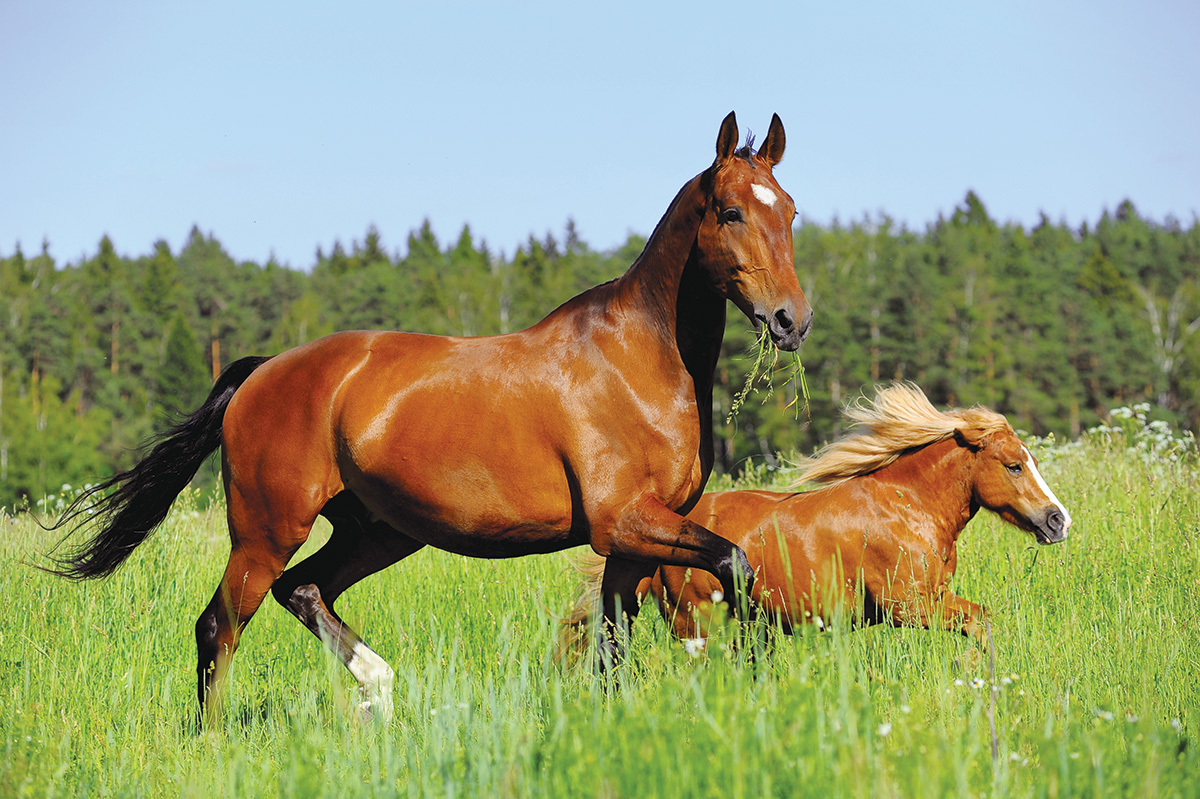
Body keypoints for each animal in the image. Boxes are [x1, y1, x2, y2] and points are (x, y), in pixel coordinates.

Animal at [51, 113, 811, 719]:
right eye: (731, 211)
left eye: (792, 212)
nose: (791, 320)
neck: (639, 361)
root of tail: (260, 374)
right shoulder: (622, 521)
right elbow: (735, 564)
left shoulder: (633, 541)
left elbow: (616, 644)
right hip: (266, 529)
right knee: (219, 626)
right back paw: (219, 740)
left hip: (377, 530)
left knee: (304, 590)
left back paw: (377, 689)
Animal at [566, 383, 1075, 647]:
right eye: (1013, 464)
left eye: (1030, 458)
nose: (1058, 521)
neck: (908, 508)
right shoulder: (909, 607)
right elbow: (978, 623)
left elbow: (983, 619)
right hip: (698, 625)